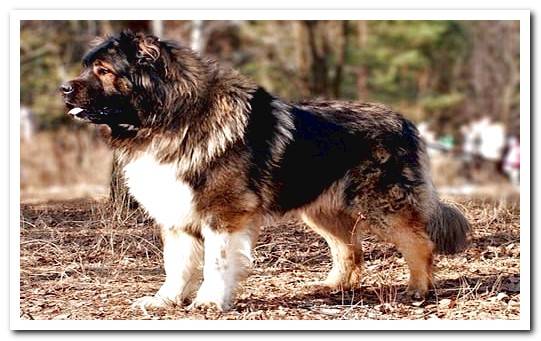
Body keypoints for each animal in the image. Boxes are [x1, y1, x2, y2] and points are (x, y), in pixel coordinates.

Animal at [60, 30, 468, 310]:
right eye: (87, 68)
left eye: (103, 70)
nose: (63, 88)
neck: (173, 120)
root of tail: (406, 122)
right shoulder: (177, 214)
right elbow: (176, 265)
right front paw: (165, 300)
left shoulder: (223, 214)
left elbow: (216, 262)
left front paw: (209, 301)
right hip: (322, 211)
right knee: (349, 250)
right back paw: (333, 286)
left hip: (383, 206)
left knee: (418, 242)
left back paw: (418, 289)